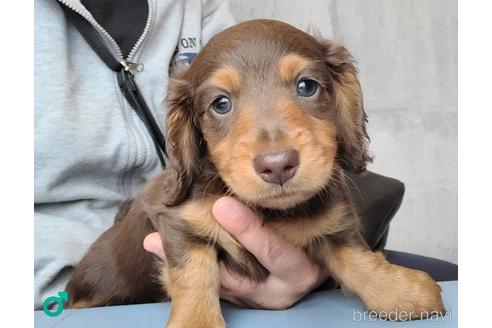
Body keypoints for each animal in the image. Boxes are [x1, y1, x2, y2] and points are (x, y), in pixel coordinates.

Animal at [65, 19, 446, 326]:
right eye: (221, 104)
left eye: (307, 86)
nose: (277, 165)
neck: (270, 211)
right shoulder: (178, 222)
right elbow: (195, 273)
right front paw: (197, 322)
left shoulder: (331, 225)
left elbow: (356, 256)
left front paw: (402, 291)